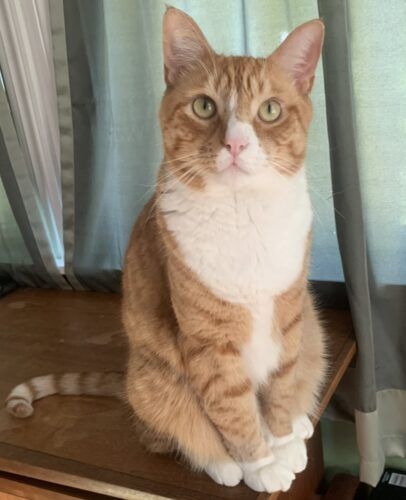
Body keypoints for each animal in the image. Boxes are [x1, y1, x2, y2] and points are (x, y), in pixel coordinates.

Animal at [4, 5, 326, 494]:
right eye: (204, 105)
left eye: (270, 110)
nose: (236, 143)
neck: (243, 215)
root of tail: (128, 376)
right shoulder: (208, 343)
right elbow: (233, 410)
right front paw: (262, 463)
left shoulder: (289, 319)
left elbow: (280, 387)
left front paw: (284, 440)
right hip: (154, 381)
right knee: (165, 433)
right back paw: (223, 464)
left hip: (313, 332)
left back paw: (301, 423)